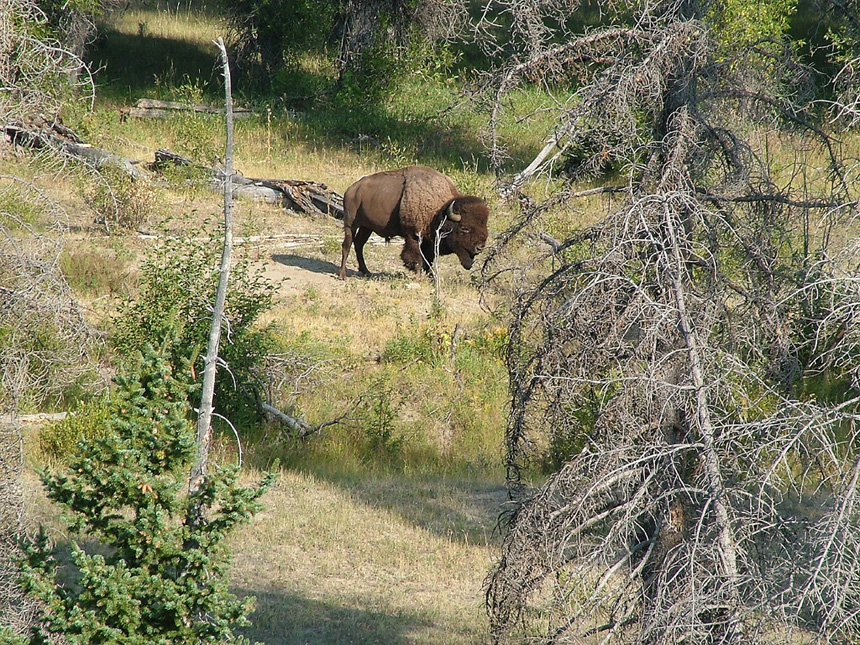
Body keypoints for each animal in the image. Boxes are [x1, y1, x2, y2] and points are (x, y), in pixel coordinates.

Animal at [338, 165, 489, 280]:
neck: (439, 211)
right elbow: (416, 258)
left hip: (366, 227)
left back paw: (366, 271)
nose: (480, 248)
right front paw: (418, 276)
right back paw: (342, 275)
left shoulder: (429, 241)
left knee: (359, 244)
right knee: (347, 245)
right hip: (351, 224)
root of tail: (351, 189)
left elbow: (429, 260)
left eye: (484, 225)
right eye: (464, 228)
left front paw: (430, 277)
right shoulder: (414, 236)